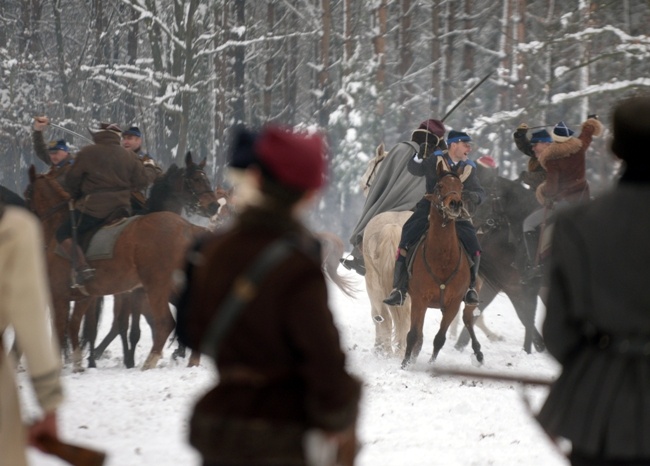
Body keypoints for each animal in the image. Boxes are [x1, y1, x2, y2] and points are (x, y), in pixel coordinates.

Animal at [26, 166, 197, 370]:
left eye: (27, 194)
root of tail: (187, 227)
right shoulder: (86, 297)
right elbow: (76, 326)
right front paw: (79, 362)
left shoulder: (60, 296)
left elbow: (63, 331)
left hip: (157, 287)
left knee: (164, 322)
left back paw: (150, 362)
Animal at [400, 167, 480, 368]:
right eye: (440, 185)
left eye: (461, 187)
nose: (455, 204)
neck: (443, 259)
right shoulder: (419, 300)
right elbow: (413, 334)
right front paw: (405, 364)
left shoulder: (453, 304)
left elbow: (440, 338)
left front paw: (431, 364)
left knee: (467, 319)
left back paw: (478, 352)